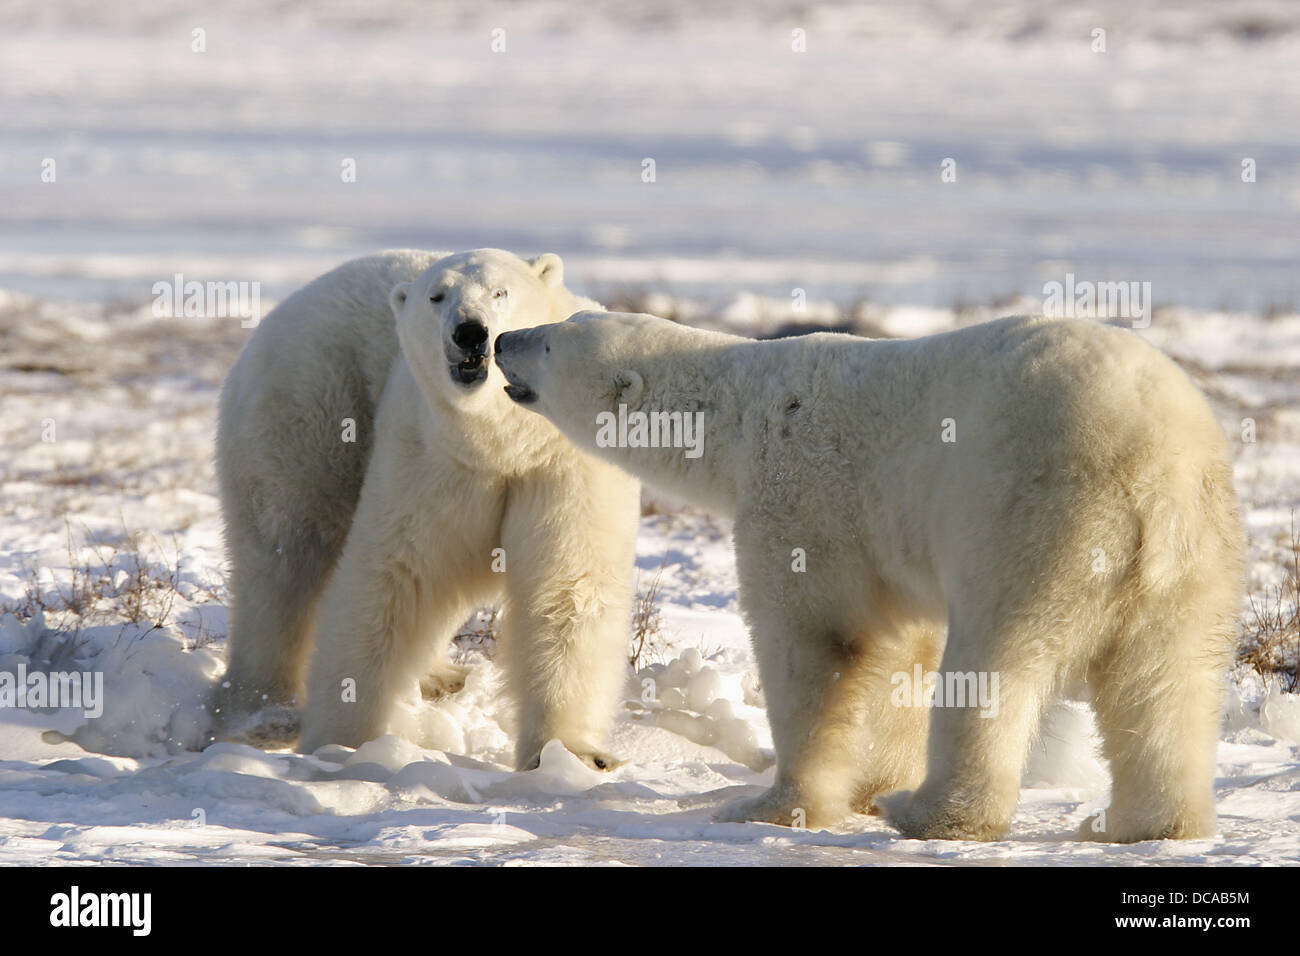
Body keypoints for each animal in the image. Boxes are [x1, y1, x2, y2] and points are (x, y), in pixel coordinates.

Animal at [217, 248, 639, 770]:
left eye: (500, 291)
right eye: (437, 296)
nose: (470, 332)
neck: (504, 441)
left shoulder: (563, 461)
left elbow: (568, 584)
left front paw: (572, 755)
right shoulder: (430, 454)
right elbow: (395, 577)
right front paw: (342, 743)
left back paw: (438, 676)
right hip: (308, 406)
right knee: (284, 558)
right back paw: (259, 708)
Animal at [493, 312, 1237, 837]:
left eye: (550, 340)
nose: (500, 339)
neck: (741, 408)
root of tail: (1156, 466)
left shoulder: (801, 499)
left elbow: (816, 641)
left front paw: (774, 804)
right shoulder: (887, 541)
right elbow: (903, 646)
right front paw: (871, 781)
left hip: (1035, 520)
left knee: (996, 661)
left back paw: (932, 812)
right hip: (1195, 554)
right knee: (1167, 679)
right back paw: (1146, 824)